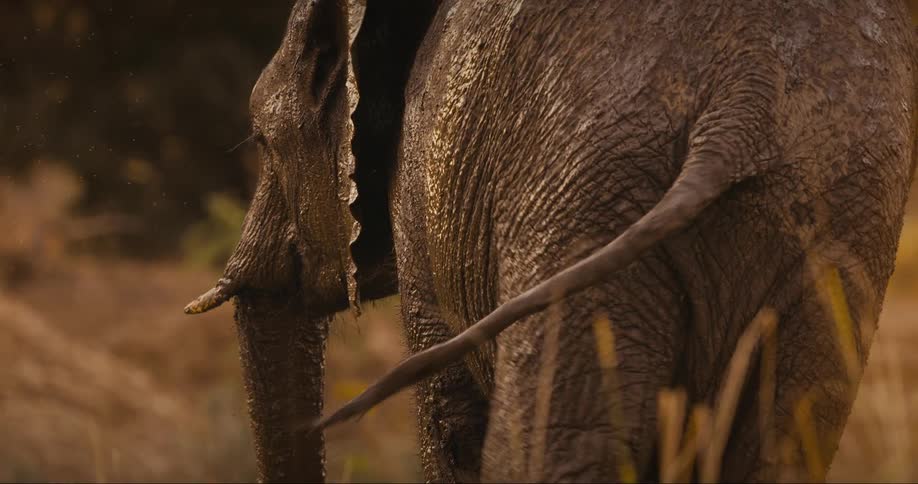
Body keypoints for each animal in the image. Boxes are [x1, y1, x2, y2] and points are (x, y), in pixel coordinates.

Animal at [186, 0, 917, 481]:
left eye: (260, 141)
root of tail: (745, 97)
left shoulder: (422, 199)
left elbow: (451, 426)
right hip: (829, 210)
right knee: (781, 443)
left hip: (583, 186)